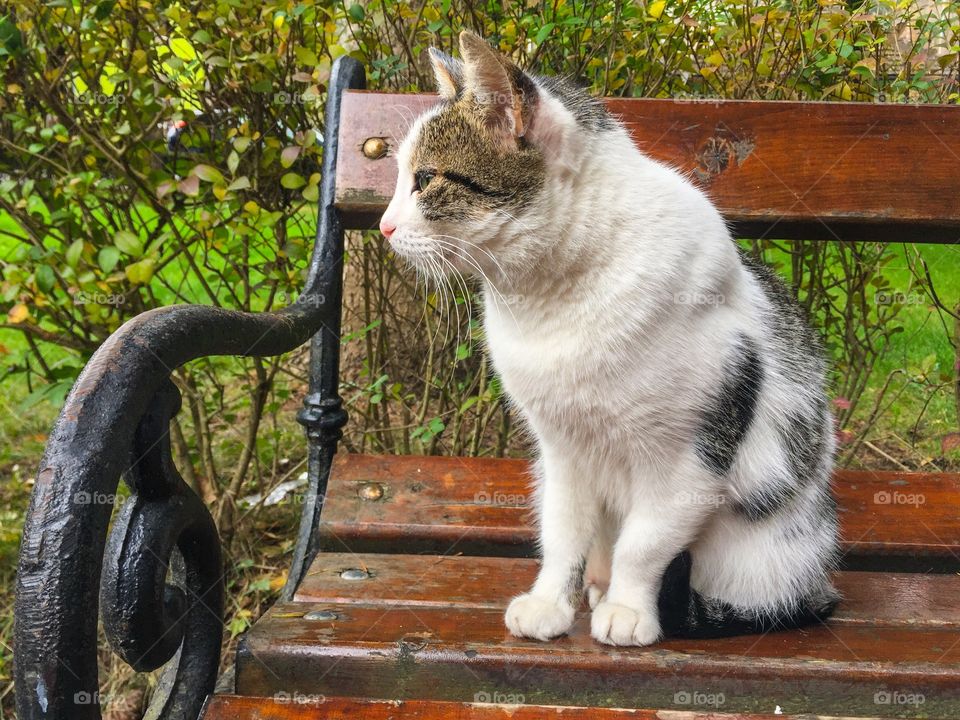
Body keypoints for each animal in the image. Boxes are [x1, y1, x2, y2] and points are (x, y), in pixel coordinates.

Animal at [378, 29, 836, 648]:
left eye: (426, 179)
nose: (383, 226)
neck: (551, 301)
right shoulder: (560, 450)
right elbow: (563, 532)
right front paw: (552, 603)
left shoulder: (688, 457)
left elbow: (645, 544)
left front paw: (628, 609)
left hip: (774, 550)